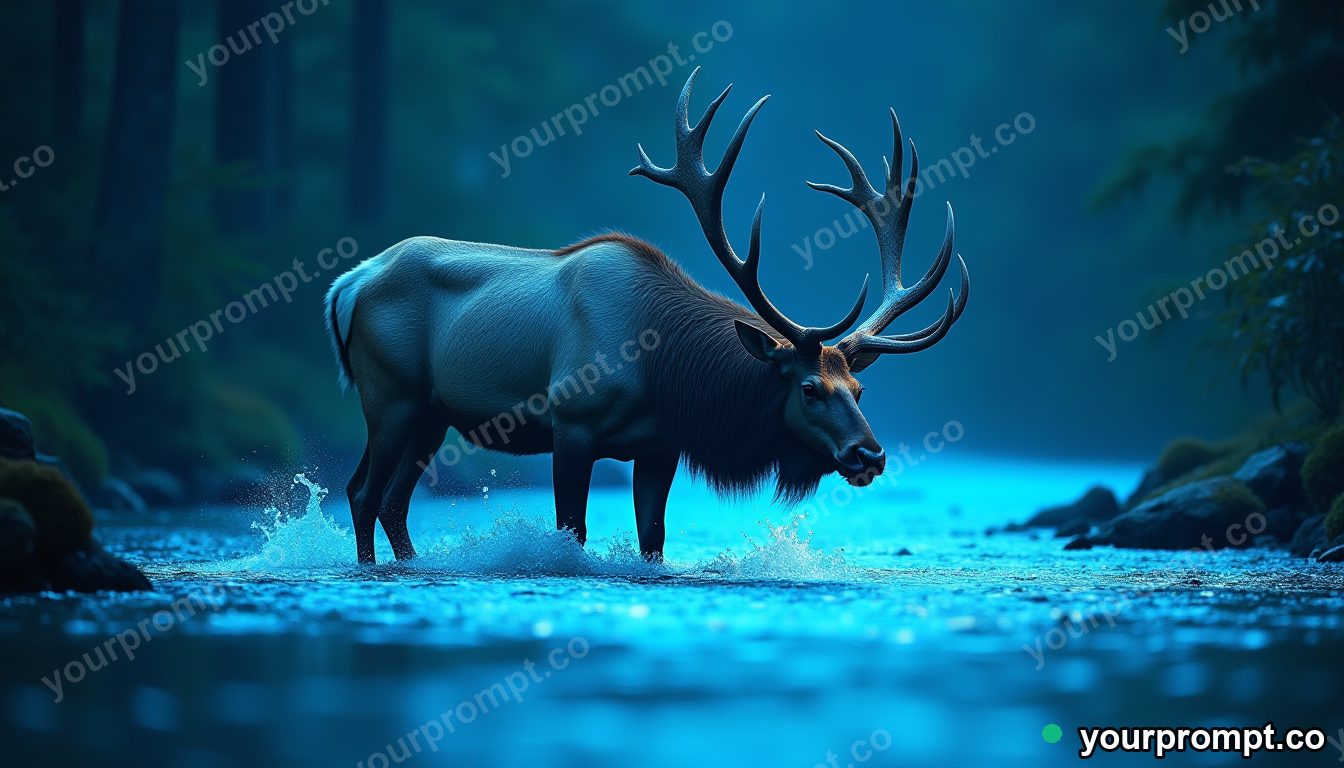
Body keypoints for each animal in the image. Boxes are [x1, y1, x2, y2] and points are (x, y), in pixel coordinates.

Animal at [325, 69, 969, 564]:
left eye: (859, 389)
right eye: (809, 388)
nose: (870, 455)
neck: (665, 370)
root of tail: (347, 284)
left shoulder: (660, 446)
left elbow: (653, 541)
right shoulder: (570, 423)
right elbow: (572, 531)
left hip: (432, 414)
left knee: (393, 501)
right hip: (391, 396)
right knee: (361, 493)